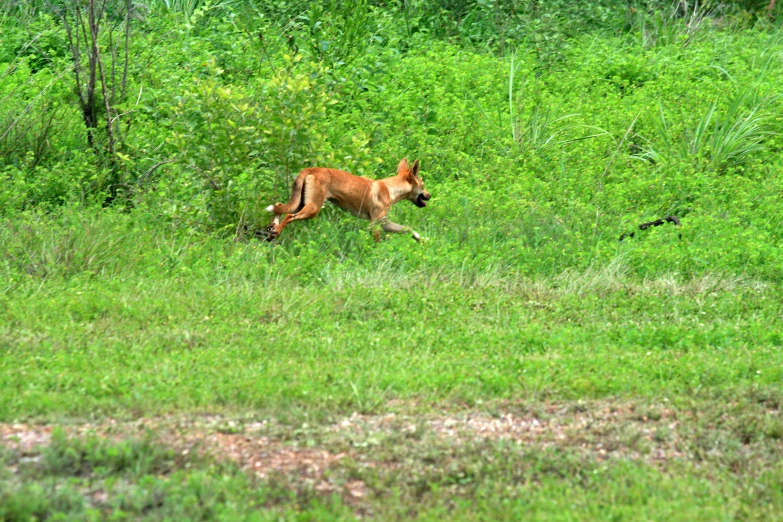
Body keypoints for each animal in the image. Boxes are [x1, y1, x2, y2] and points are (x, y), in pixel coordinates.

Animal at [266, 157, 432, 241]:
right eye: (423, 185)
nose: (430, 195)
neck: (390, 189)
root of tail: (310, 169)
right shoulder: (375, 225)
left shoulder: (385, 223)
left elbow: (408, 228)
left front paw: (421, 238)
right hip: (312, 209)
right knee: (288, 215)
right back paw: (277, 231)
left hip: (301, 203)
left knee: (279, 207)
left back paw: (273, 229)